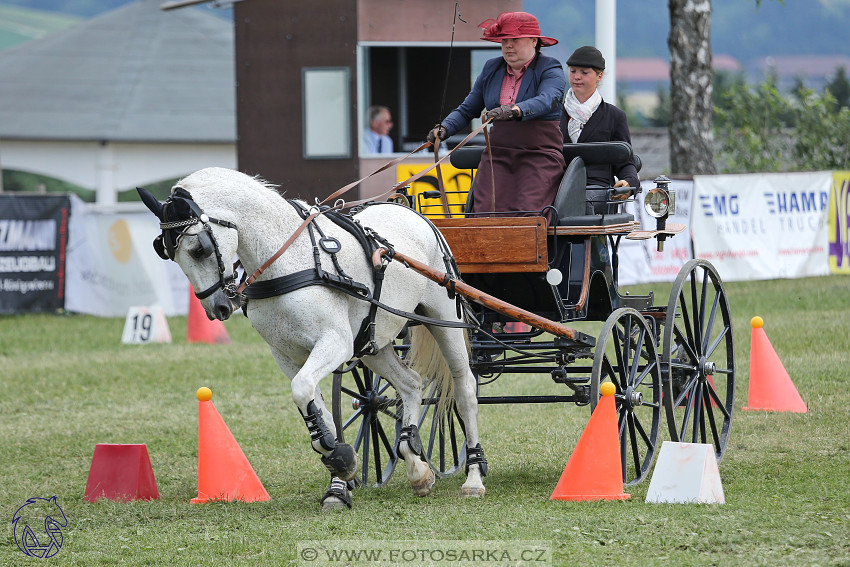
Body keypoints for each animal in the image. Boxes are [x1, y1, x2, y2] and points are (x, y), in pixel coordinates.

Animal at [138, 166, 484, 508]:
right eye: (167, 252)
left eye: (199, 249)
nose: (217, 308)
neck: (289, 260)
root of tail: (411, 212)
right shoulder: (287, 354)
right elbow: (317, 408)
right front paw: (340, 474)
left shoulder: (335, 343)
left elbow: (303, 389)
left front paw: (340, 461)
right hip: (373, 342)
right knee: (411, 383)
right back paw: (415, 466)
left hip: (444, 318)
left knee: (464, 388)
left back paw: (474, 476)